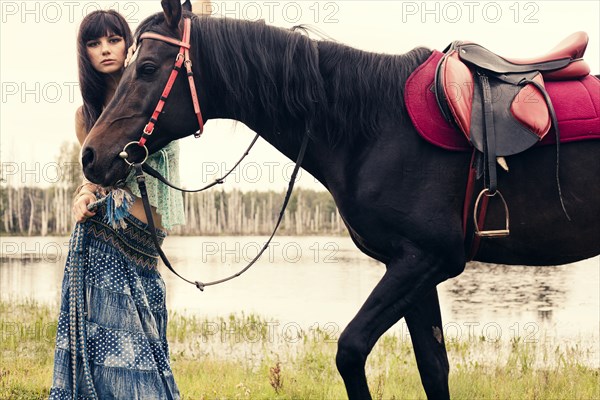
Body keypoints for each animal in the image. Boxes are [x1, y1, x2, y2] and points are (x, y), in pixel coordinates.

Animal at [81, 1, 600, 398]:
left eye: (148, 68)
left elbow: (350, 351)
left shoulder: (425, 260)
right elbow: (434, 368)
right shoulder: (413, 269)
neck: (375, 124)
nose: (91, 155)